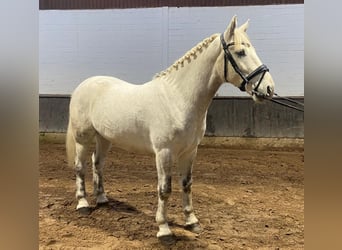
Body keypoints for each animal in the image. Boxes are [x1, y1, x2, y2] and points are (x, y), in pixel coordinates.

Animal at [66, 15, 276, 242]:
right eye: (240, 52)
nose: (268, 89)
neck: (178, 99)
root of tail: (84, 85)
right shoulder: (164, 152)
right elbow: (165, 189)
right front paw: (164, 229)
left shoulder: (190, 151)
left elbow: (186, 184)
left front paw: (192, 222)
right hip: (83, 138)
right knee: (80, 166)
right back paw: (83, 204)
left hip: (104, 138)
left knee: (98, 163)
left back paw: (102, 198)